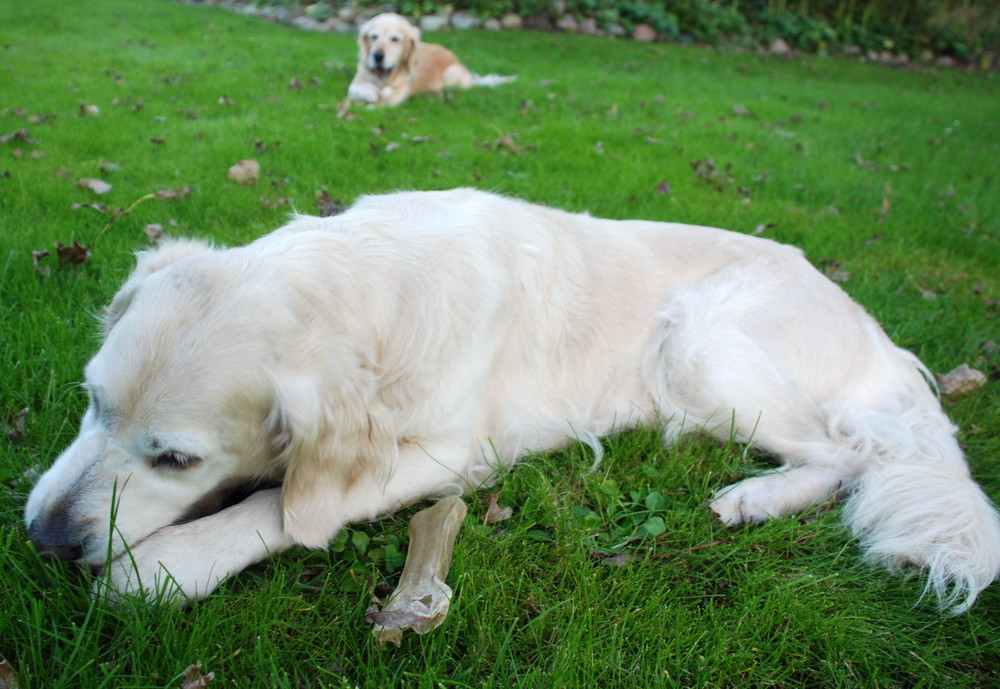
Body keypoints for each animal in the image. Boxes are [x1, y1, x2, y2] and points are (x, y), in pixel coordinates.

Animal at [23, 185, 1000, 612]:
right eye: (91, 403)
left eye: (176, 457)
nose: (42, 539)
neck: (369, 280)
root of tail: (875, 330)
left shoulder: (451, 451)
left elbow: (280, 507)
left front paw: (167, 564)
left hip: (700, 337)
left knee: (845, 451)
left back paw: (755, 496)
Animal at [346, 12, 516, 106]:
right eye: (373, 37)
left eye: (395, 39)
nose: (378, 56)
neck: (383, 77)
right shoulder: (356, 82)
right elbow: (358, 88)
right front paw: (372, 92)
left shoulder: (400, 92)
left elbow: (383, 101)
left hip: (451, 73)